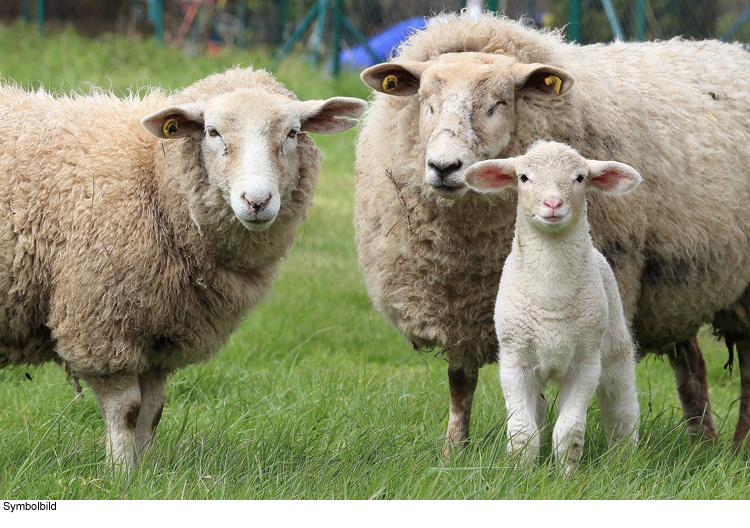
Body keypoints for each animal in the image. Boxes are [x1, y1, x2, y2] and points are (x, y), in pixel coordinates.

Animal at [0, 65, 368, 466]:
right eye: (212, 132)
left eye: (292, 132)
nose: (257, 201)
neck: (153, 174)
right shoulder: (101, 323)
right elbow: (126, 410)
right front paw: (120, 471)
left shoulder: (161, 336)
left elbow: (152, 411)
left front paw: (145, 470)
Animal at [464, 142, 640, 472]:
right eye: (523, 177)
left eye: (580, 177)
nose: (553, 204)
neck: (551, 298)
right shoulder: (514, 360)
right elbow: (523, 432)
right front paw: (521, 472)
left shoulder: (586, 363)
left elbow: (569, 431)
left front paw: (567, 474)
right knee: (539, 409)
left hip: (614, 348)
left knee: (622, 408)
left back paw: (624, 459)